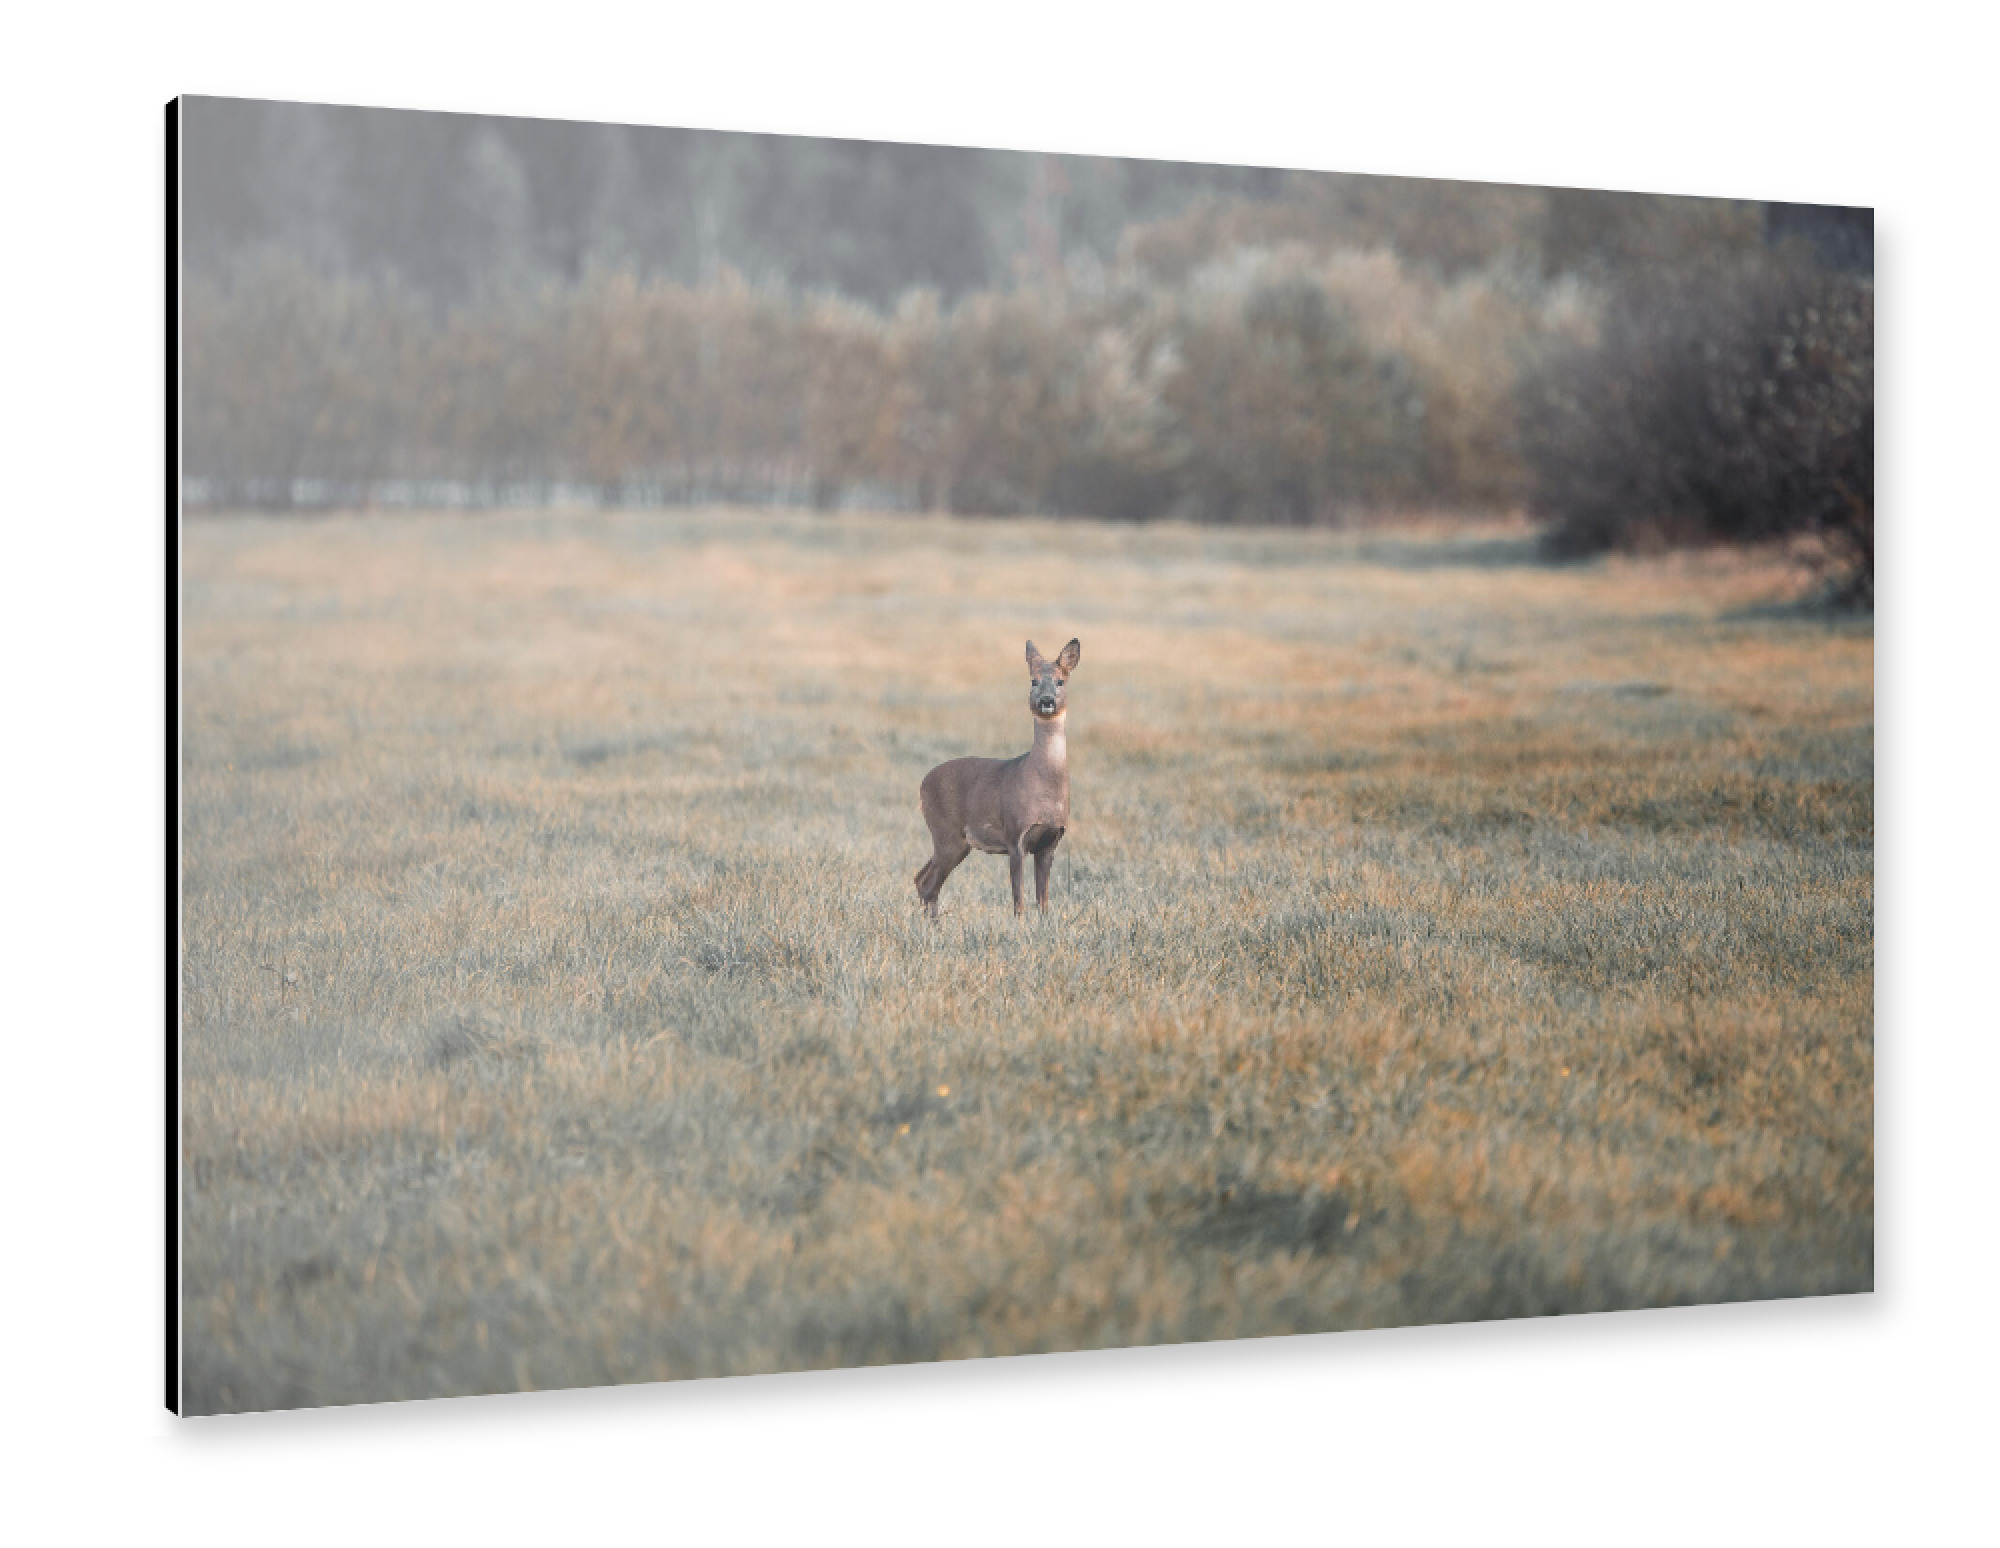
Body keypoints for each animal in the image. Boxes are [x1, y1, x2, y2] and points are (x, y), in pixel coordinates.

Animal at [914, 638, 1080, 919]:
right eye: (1033, 681)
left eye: (1060, 681)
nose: (1047, 700)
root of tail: (922, 784)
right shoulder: (1015, 835)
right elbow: (1019, 900)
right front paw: (1020, 924)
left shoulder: (1050, 842)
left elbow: (1043, 900)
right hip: (946, 832)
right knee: (927, 883)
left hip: (955, 841)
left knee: (921, 879)